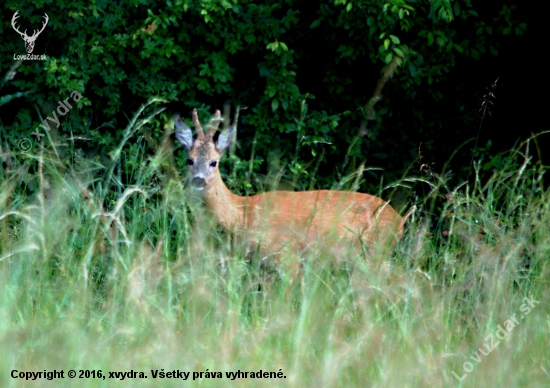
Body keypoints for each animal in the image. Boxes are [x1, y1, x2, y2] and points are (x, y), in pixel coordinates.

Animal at [175, 107, 412, 276]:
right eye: (190, 160)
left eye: (213, 162)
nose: (199, 179)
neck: (244, 213)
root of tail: (400, 221)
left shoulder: (287, 255)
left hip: (375, 250)